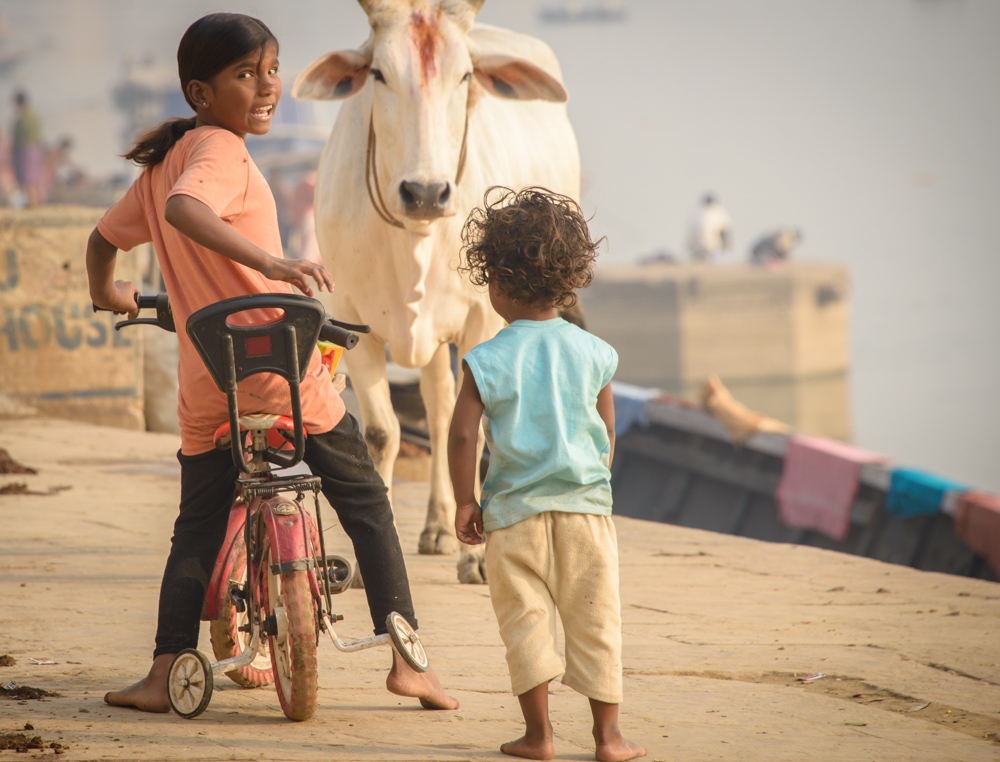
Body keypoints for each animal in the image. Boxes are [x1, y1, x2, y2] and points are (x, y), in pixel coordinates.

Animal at [292, 0, 584, 580]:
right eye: (378, 73)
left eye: (465, 76)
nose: (425, 192)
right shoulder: (352, 320)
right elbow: (382, 433)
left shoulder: (483, 322)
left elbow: (476, 428)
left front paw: (476, 557)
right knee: (436, 401)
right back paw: (435, 526)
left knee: (446, 410)